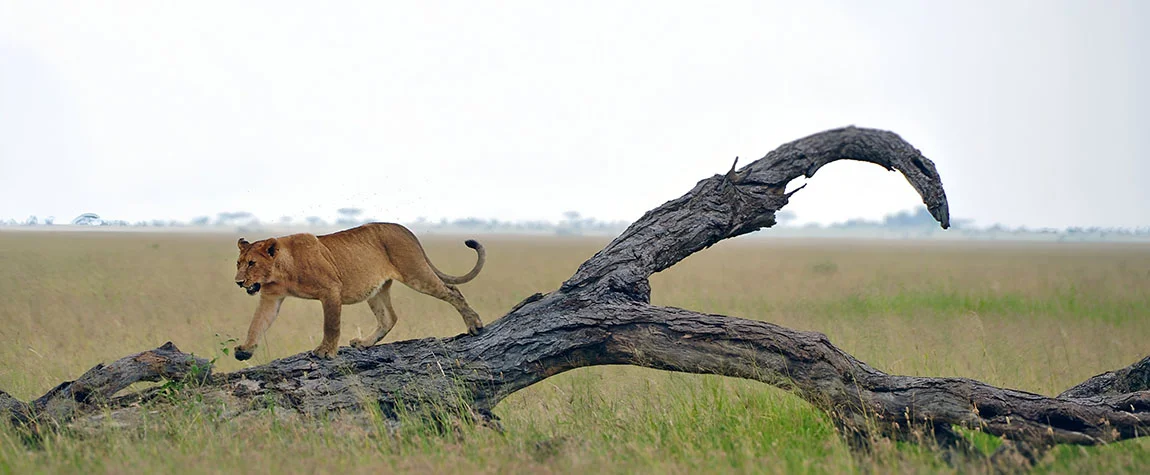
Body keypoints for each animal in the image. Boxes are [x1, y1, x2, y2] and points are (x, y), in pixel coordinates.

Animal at [231, 221, 483, 358]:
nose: (238, 282)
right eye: (238, 263)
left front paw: (325, 352)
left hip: (415, 272)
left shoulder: (331, 289)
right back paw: (364, 343)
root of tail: (404, 229)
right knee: (389, 317)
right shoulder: (271, 297)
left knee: (452, 291)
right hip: (376, 290)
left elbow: (331, 325)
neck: (282, 272)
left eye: (252, 263)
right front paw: (245, 350)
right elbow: (257, 324)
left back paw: (474, 325)